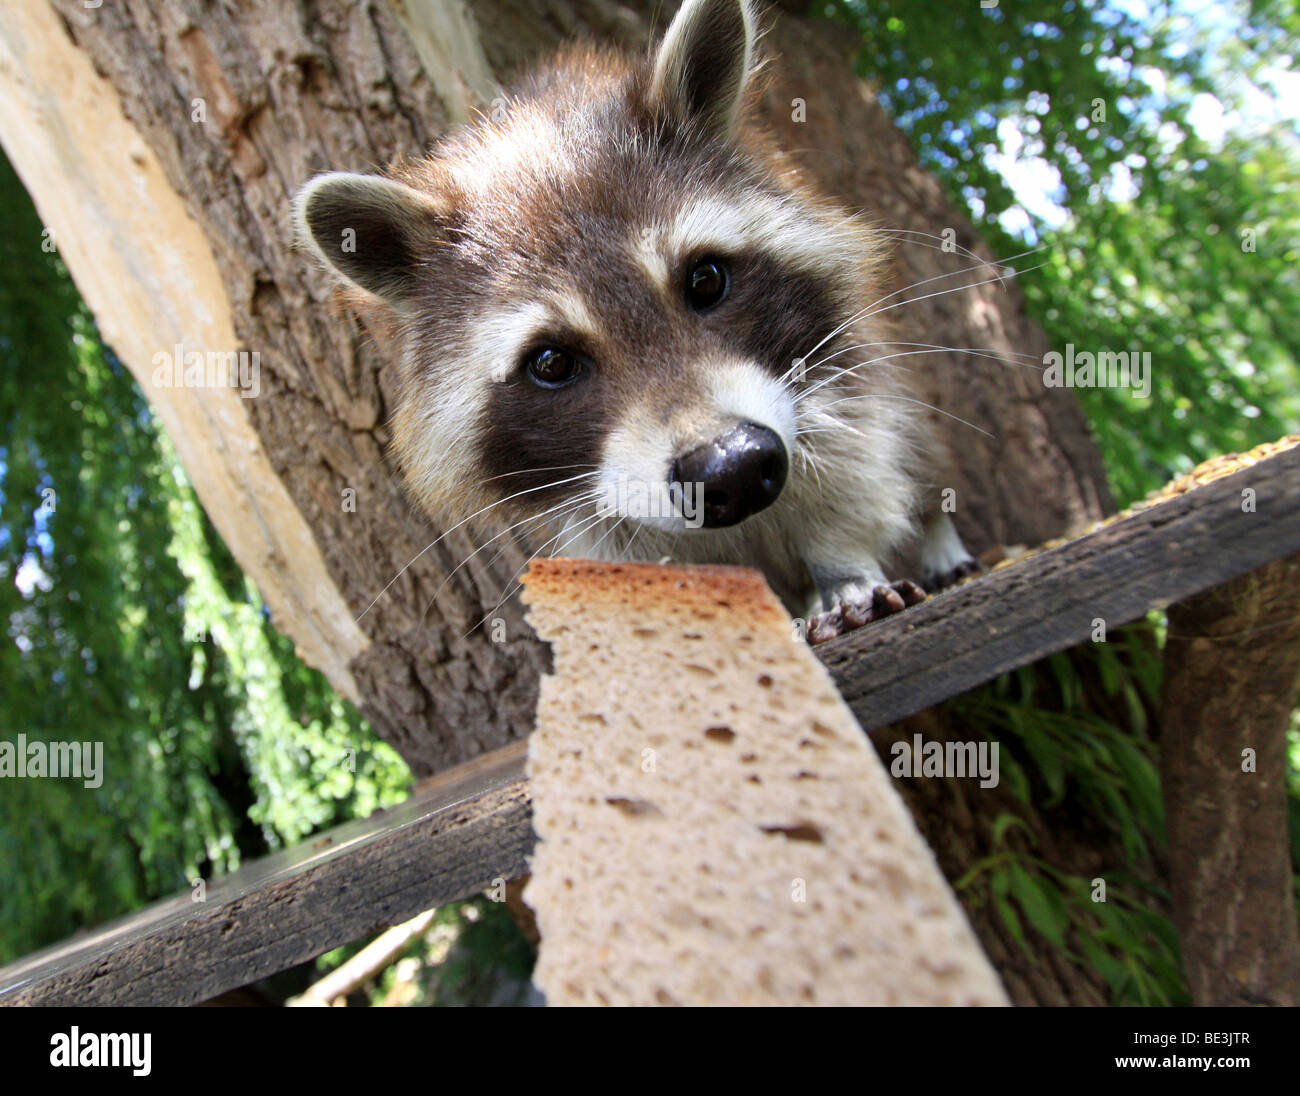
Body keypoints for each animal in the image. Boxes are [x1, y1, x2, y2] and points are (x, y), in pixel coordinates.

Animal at [292, 0, 977, 642]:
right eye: (551, 362)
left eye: (706, 279)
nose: (730, 468)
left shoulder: (833, 354)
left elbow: (851, 457)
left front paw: (841, 565)